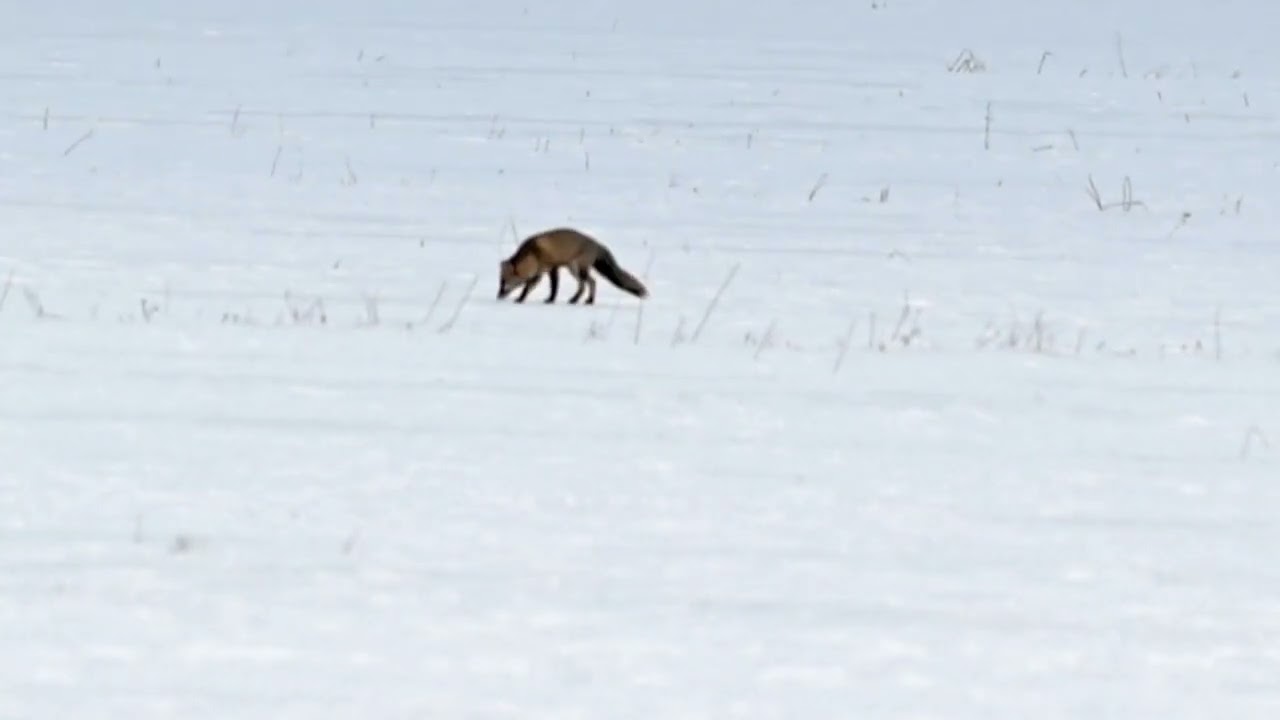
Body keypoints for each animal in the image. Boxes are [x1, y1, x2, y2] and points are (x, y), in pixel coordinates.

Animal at [497, 227, 649, 305]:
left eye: (504, 283)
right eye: (500, 282)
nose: (498, 296)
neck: (534, 252)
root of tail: (597, 244)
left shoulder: (549, 268)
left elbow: (540, 287)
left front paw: (521, 299)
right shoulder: (547, 270)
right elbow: (550, 287)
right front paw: (550, 299)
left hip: (578, 268)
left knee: (587, 284)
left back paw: (577, 300)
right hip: (573, 269)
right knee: (591, 282)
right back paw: (587, 300)